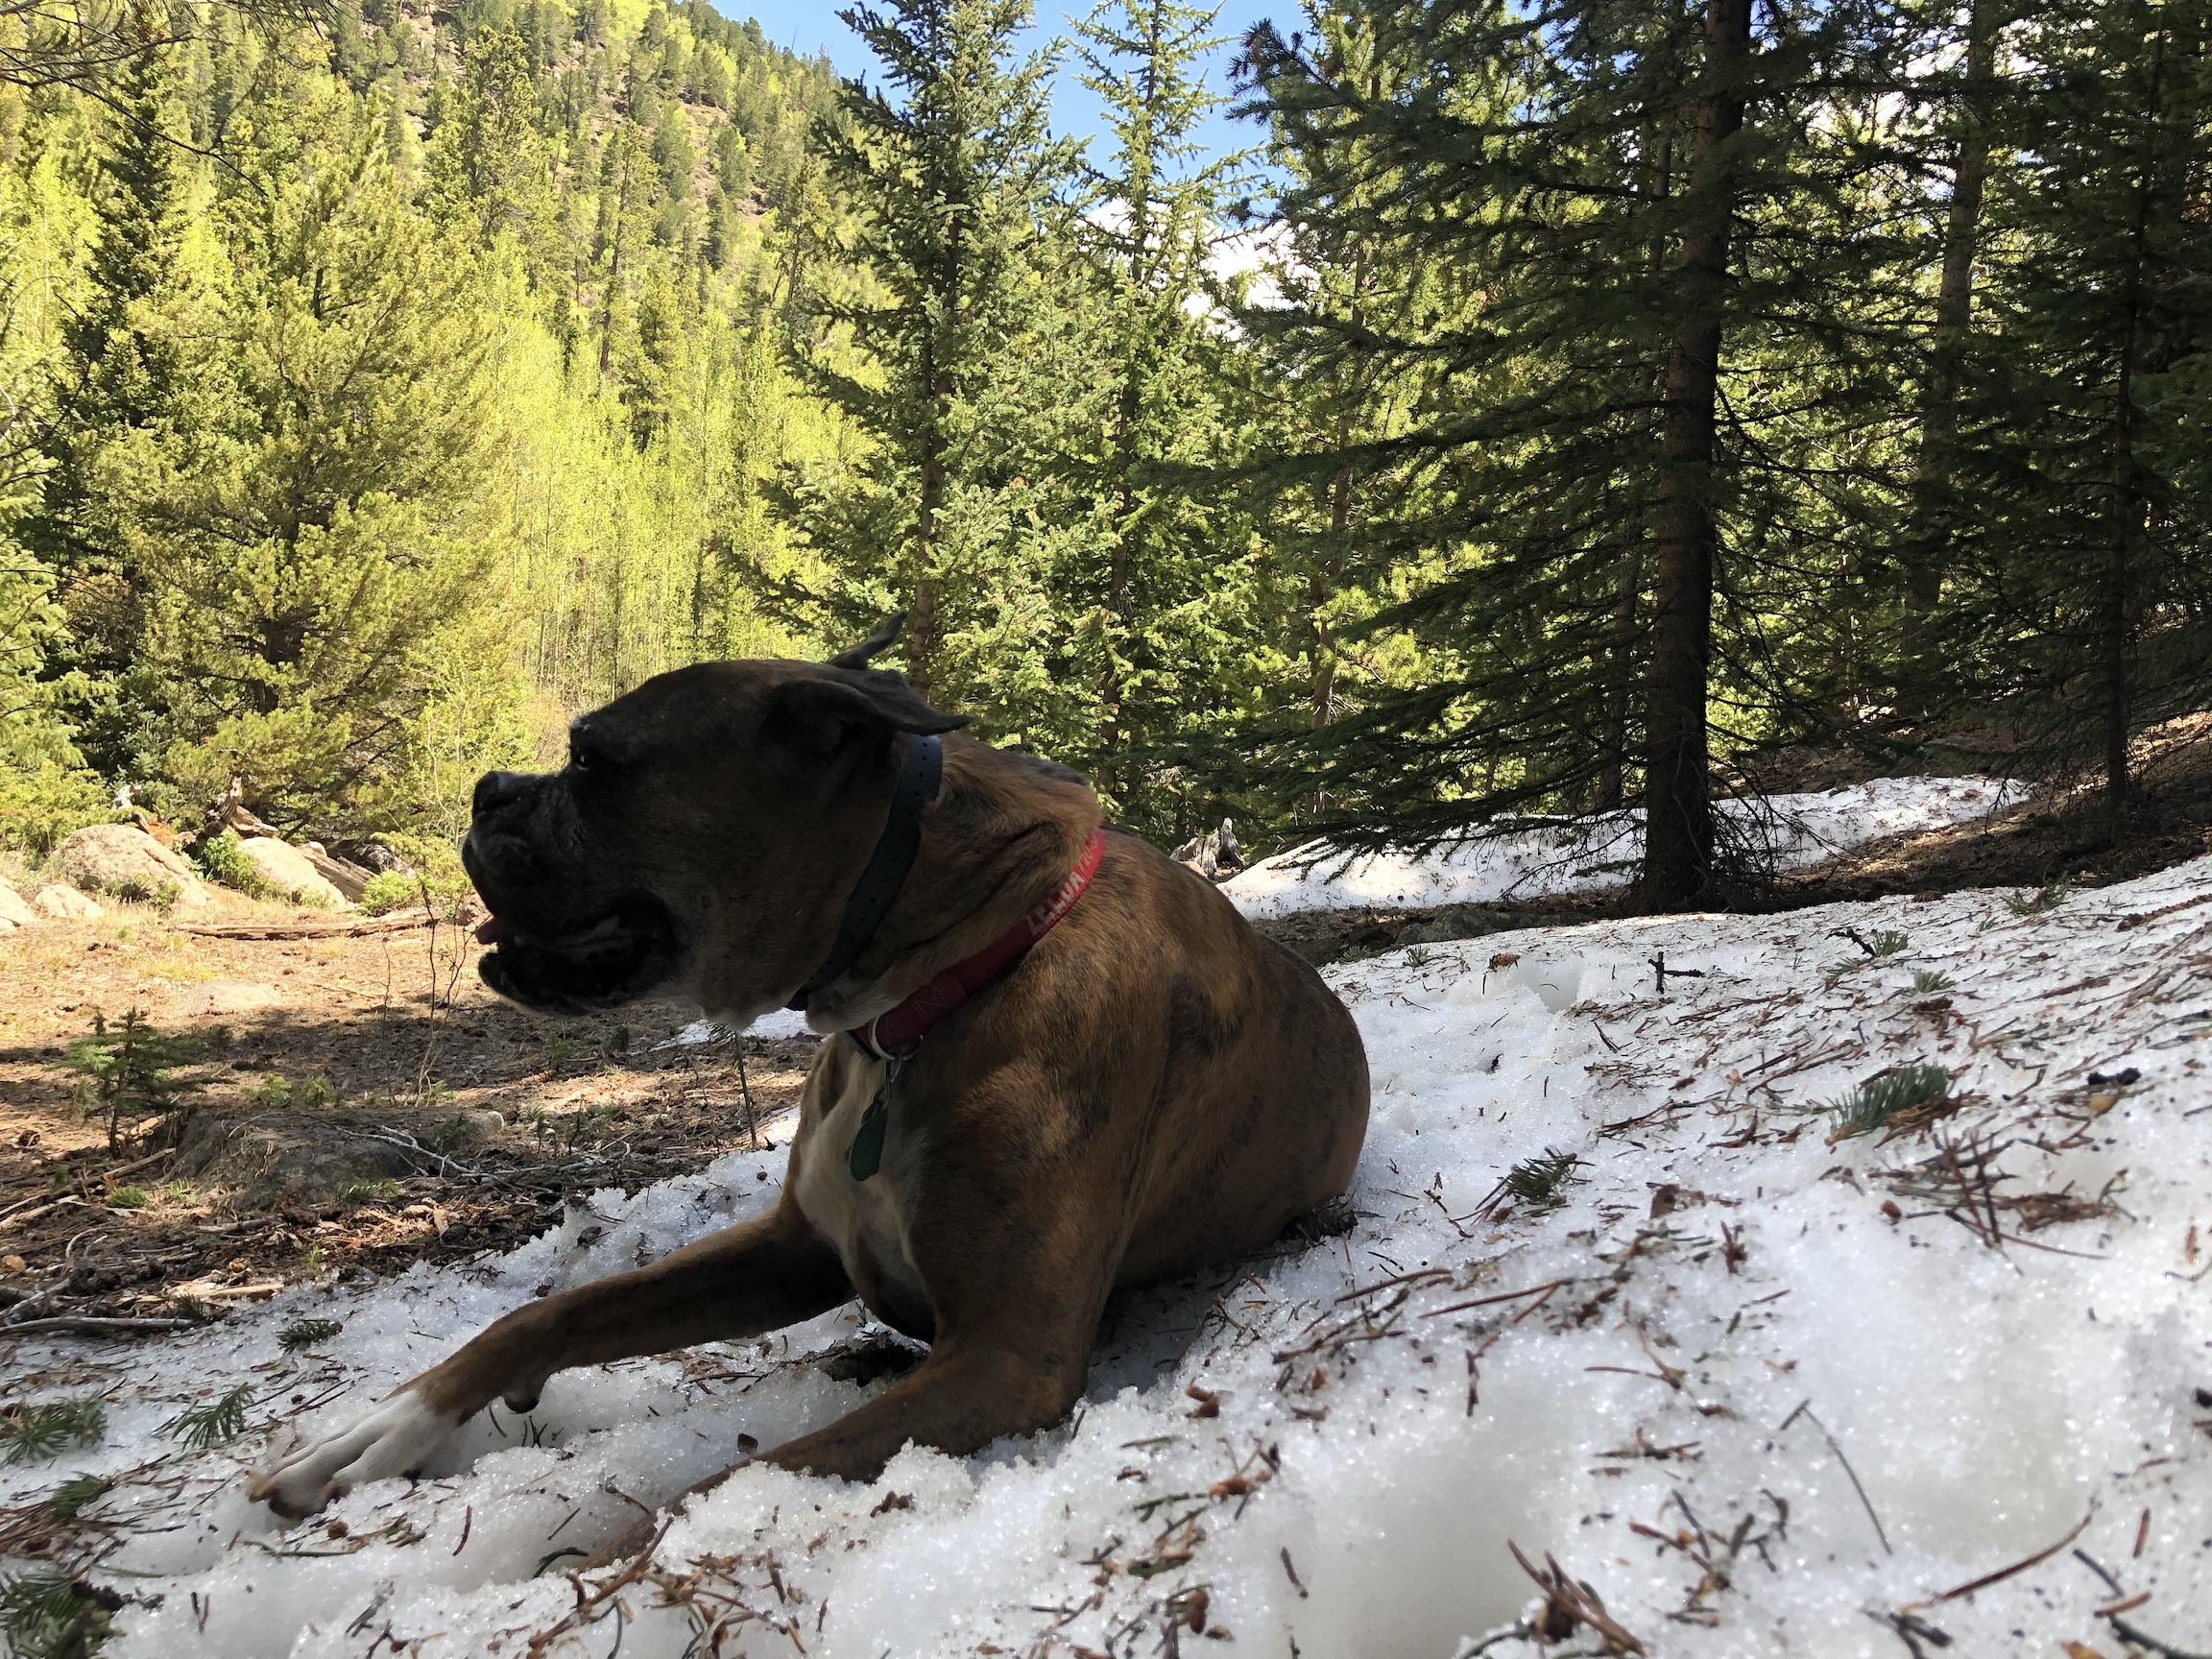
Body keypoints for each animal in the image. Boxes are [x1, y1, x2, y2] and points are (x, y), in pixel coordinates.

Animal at [249, 623, 1370, 1534]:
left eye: (592, 760)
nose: (489, 787)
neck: (936, 985)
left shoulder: (1006, 1359)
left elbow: (709, 1494)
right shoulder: (794, 1249)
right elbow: (554, 1311)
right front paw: (382, 1431)